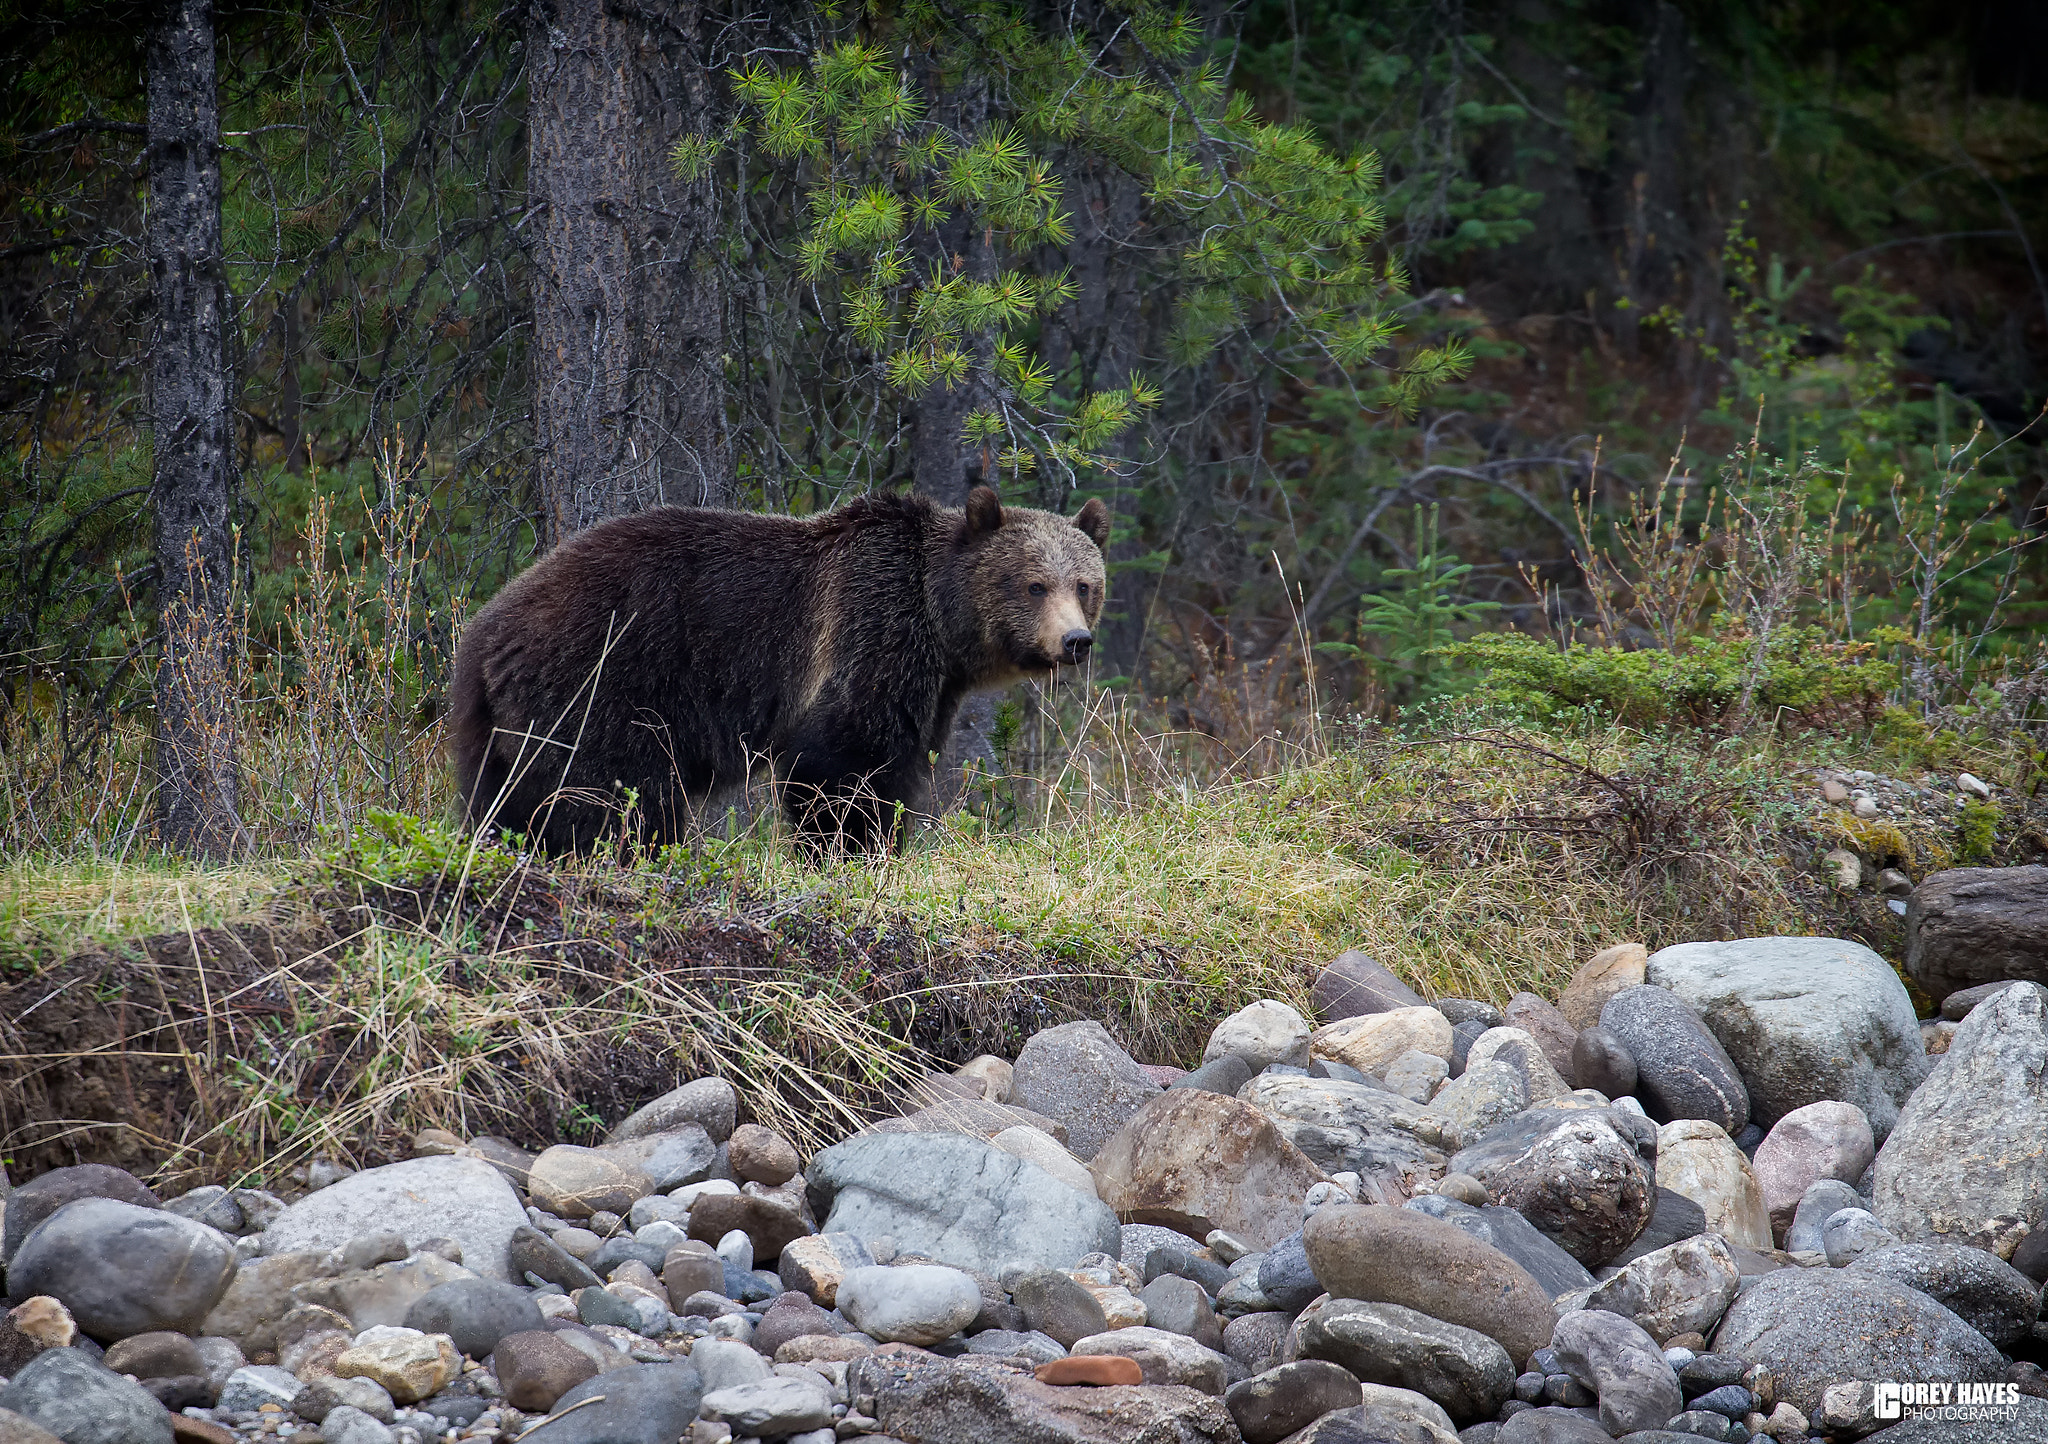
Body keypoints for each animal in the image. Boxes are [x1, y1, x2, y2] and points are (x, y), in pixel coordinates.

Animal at [449, 485, 1109, 854]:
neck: (937, 620)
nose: (1076, 640)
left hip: (499, 724)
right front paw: (852, 847)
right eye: (1033, 584)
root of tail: (484, 632)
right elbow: (842, 762)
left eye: (1084, 583)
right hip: (599, 685)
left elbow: (900, 760)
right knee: (609, 794)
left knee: (503, 797)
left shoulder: (929, 684)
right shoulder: (867, 629)